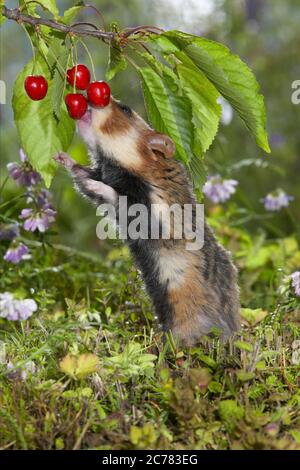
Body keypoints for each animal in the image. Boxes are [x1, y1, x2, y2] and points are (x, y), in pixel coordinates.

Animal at [55, 96, 240, 346]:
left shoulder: (154, 214)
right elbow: (84, 176)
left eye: (125, 109)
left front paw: (98, 184)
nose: (84, 96)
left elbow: (114, 195)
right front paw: (60, 156)